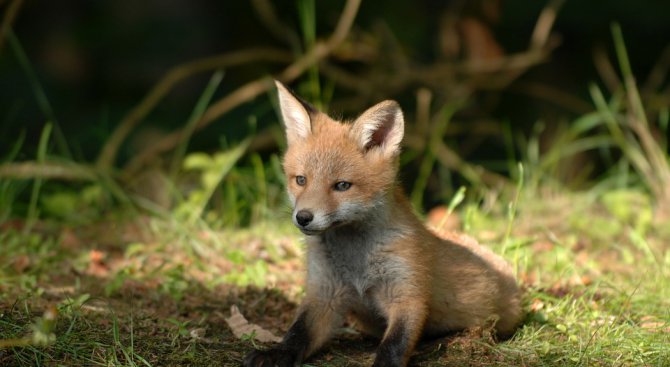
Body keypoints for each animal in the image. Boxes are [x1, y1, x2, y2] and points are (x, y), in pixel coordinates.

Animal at [245, 82, 524, 367]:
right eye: (301, 180)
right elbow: (297, 333)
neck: (355, 261)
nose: (303, 217)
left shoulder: (407, 293)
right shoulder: (324, 295)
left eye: (342, 186)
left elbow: (394, 343)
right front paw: (275, 353)